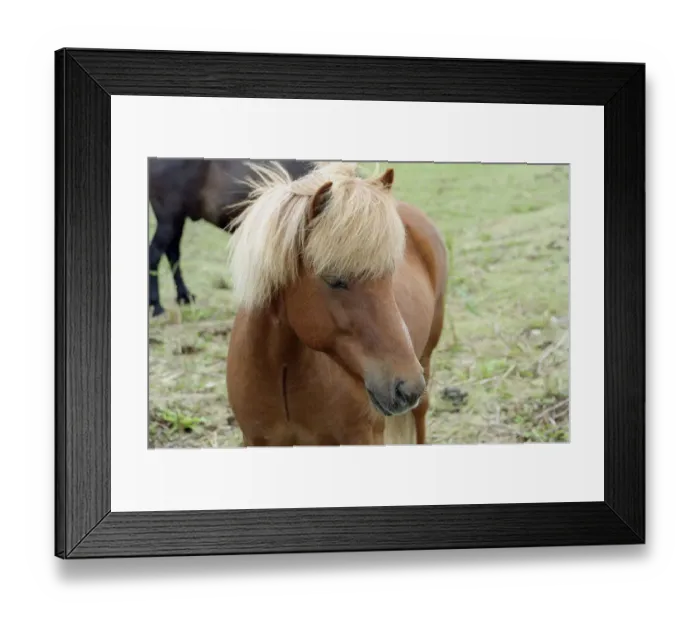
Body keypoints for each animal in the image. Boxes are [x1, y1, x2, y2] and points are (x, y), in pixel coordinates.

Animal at [147, 158, 315, 317]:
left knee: (172, 252)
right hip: (169, 219)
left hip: (177, 219)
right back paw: (157, 307)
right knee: (155, 255)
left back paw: (184, 296)